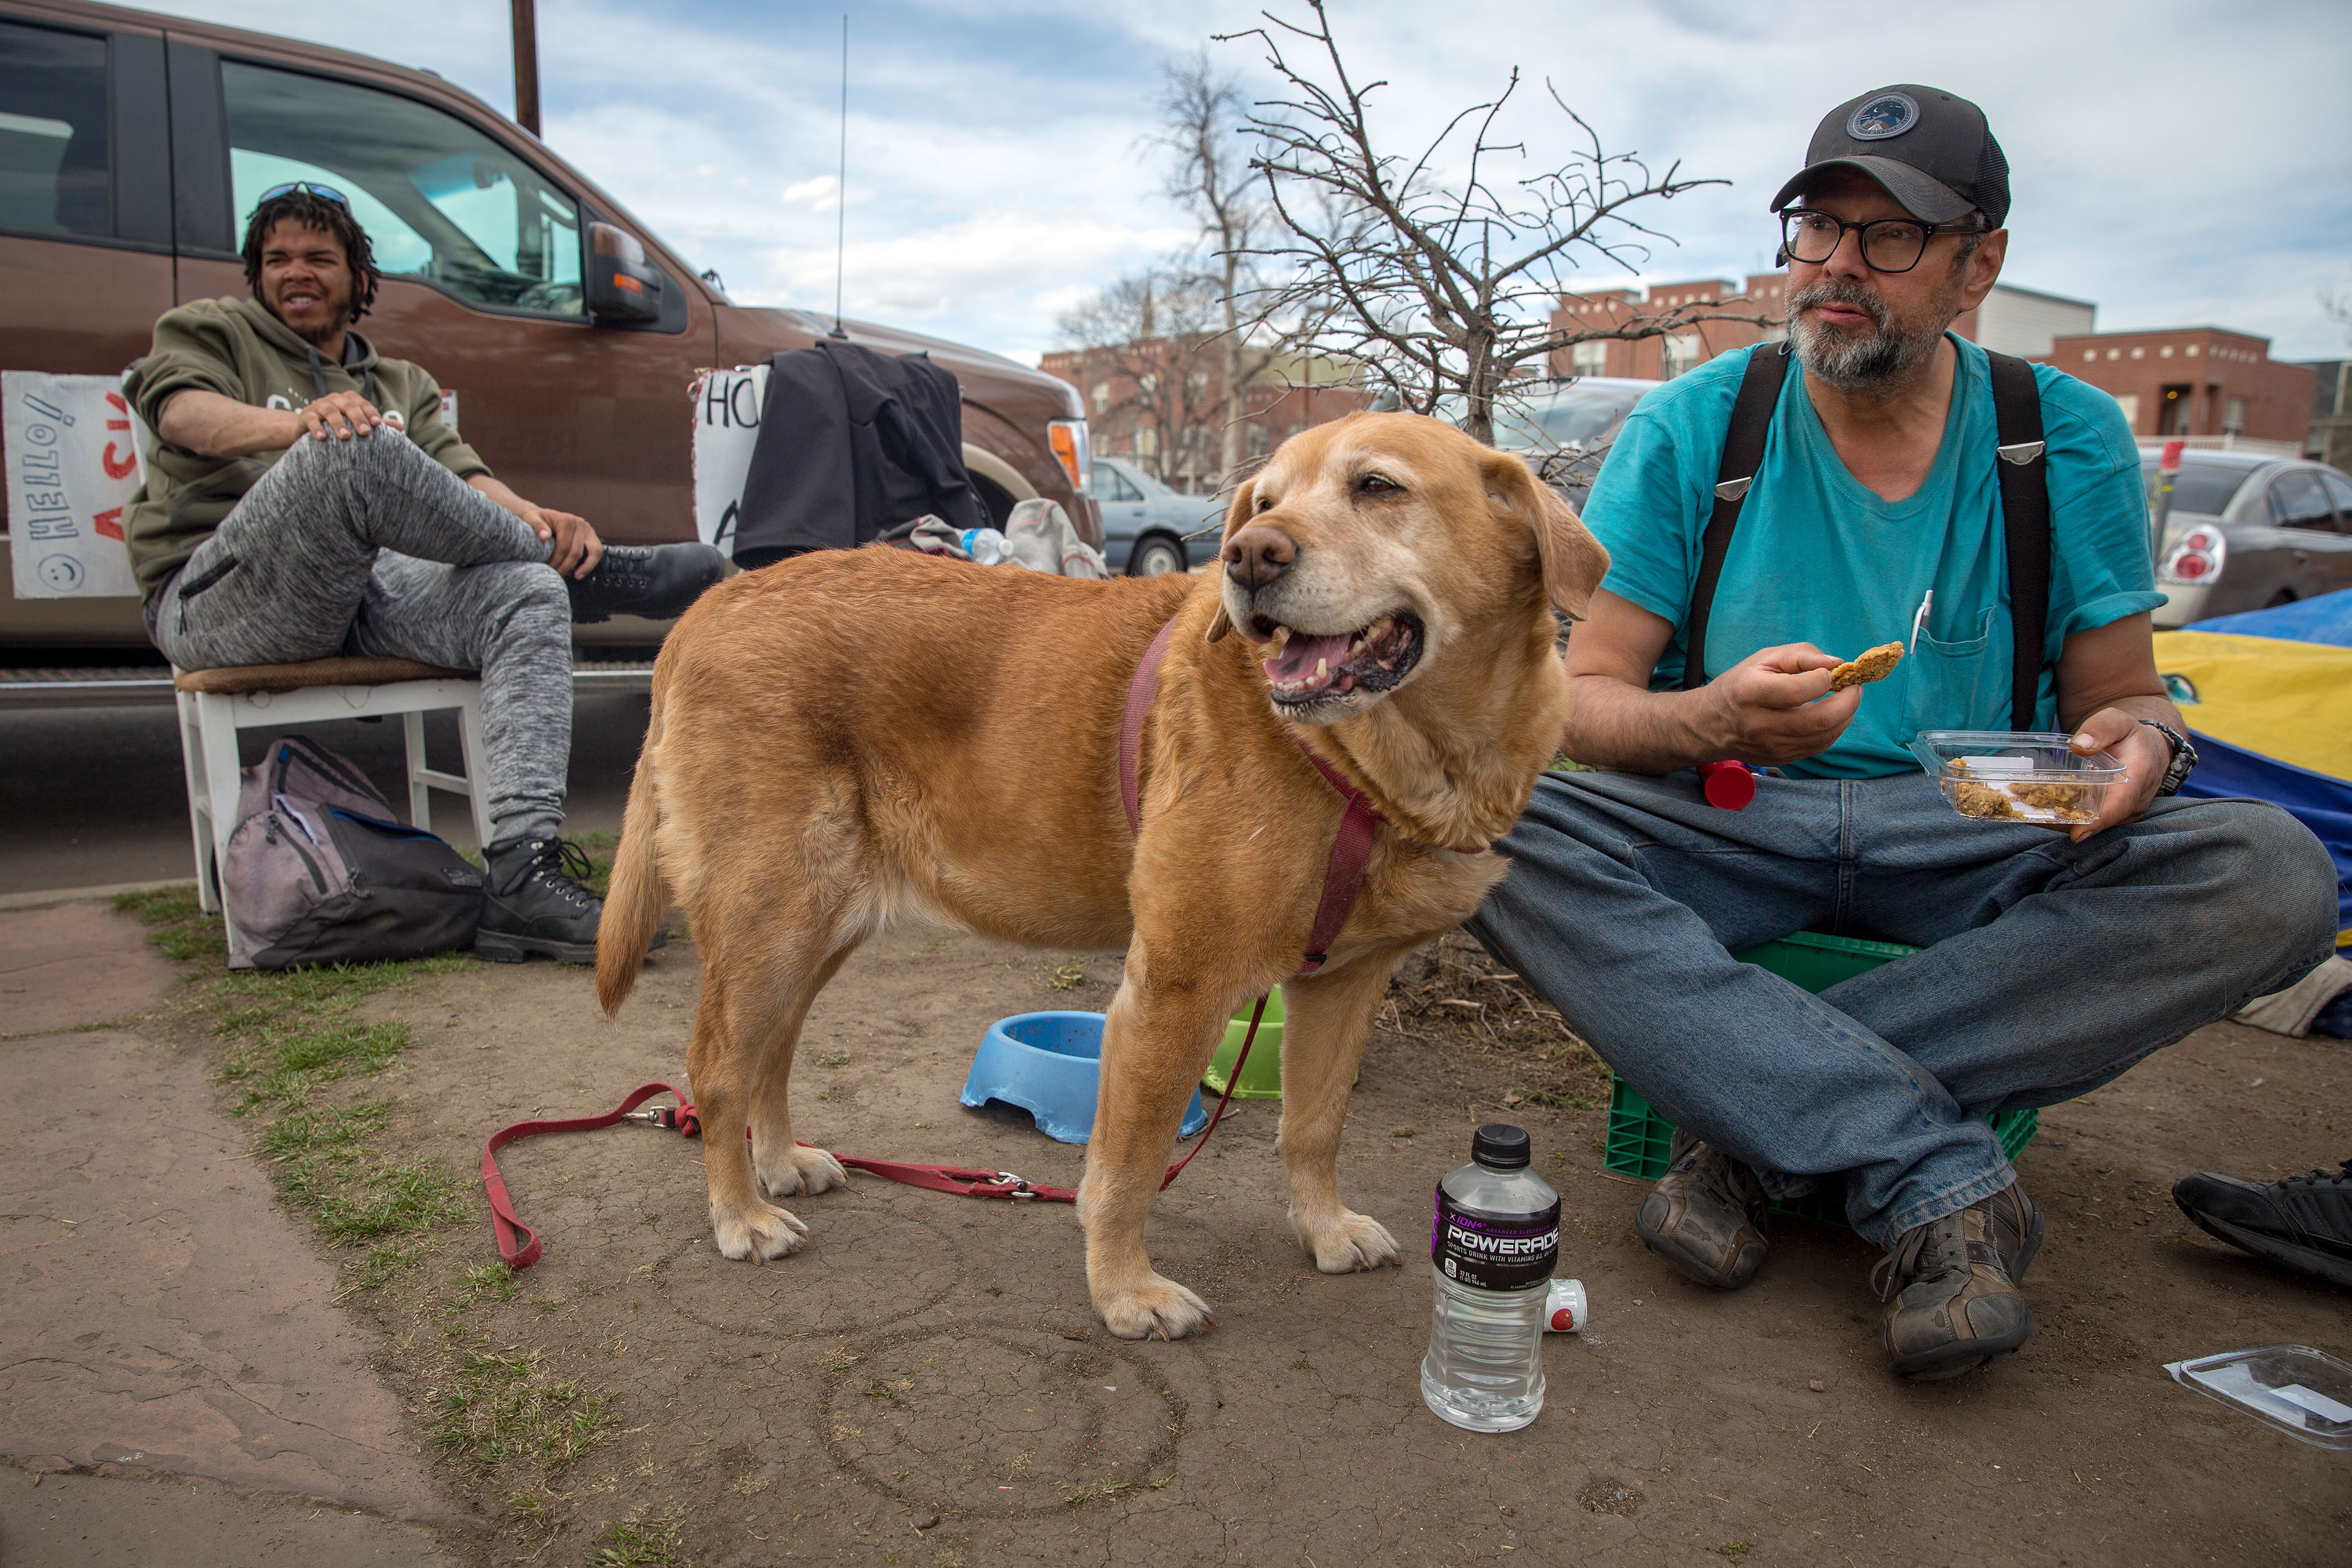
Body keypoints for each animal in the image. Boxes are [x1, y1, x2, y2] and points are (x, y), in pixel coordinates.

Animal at [597, 411, 1609, 1345]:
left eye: (1377, 487)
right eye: (1265, 502)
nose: (1248, 556)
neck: (1385, 762)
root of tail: (708, 609)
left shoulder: (1346, 984)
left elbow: (1313, 1126)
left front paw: (1322, 1228)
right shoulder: (1172, 994)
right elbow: (1129, 1167)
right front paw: (1125, 1289)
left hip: (814, 929)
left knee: (769, 1052)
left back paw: (778, 1162)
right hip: (771, 919)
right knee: (716, 1065)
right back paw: (741, 1213)